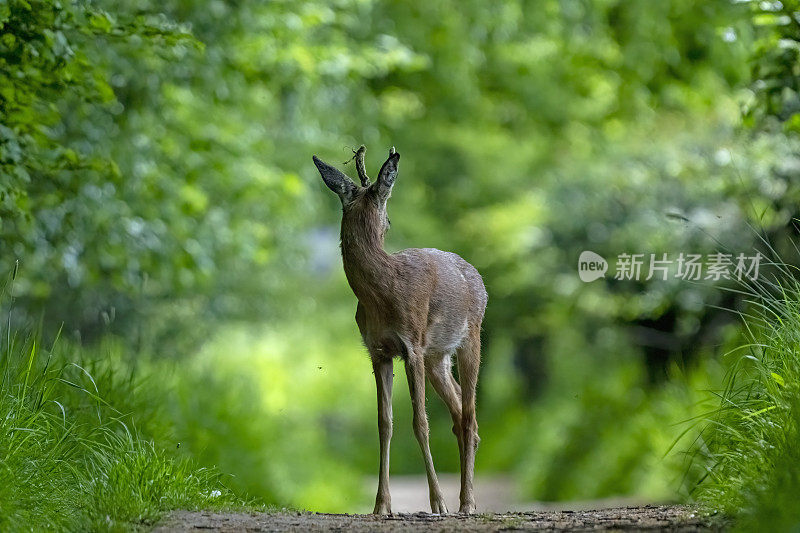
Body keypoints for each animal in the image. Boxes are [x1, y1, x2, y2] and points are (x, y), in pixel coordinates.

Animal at [312, 143, 488, 512]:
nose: (388, 224)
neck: (384, 290)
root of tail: (478, 278)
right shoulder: (378, 351)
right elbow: (385, 424)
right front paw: (382, 505)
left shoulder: (413, 345)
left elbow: (420, 422)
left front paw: (438, 503)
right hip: (438, 358)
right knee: (461, 416)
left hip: (471, 338)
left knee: (468, 415)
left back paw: (466, 503)